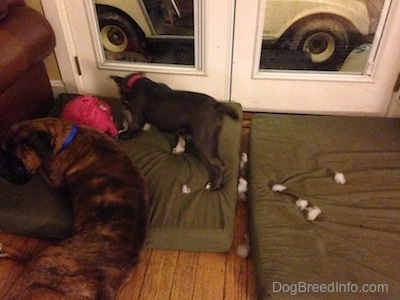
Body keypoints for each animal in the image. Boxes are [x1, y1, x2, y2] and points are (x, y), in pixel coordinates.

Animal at [0, 118, 148, 300]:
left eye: (17, 162)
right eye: (3, 152)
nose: (2, 169)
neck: (68, 139)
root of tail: (106, 285)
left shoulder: (53, 178)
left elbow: (41, 169)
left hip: (47, 259)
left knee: (27, 261)